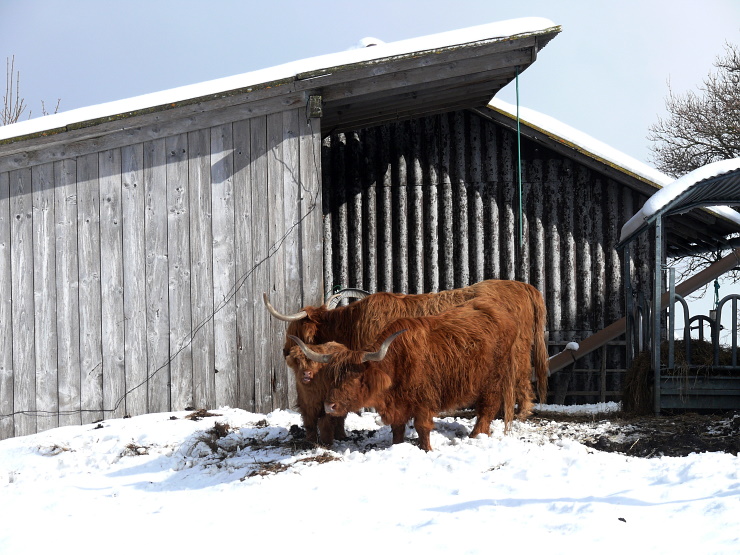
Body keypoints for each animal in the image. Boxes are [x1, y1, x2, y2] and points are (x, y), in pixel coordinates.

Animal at [286, 300, 524, 452]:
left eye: (355, 378)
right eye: (332, 377)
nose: (330, 406)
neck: (396, 363)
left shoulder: (424, 400)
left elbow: (422, 427)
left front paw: (427, 450)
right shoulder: (397, 404)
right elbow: (397, 428)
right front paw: (397, 446)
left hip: (493, 379)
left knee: (488, 407)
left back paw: (476, 435)